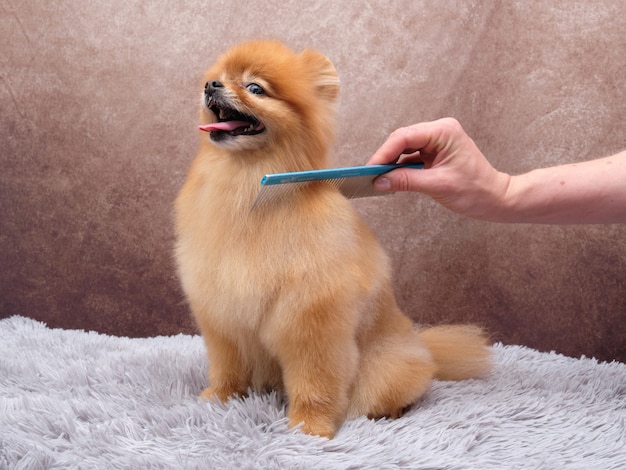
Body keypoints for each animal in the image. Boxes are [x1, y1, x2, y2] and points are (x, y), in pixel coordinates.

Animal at [173, 39, 490, 436]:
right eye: (219, 77)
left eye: (255, 88)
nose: (211, 85)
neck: (247, 185)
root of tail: (420, 344)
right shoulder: (222, 314)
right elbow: (228, 365)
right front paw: (220, 396)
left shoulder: (313, 319)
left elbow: (316, 381)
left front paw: (309, 427)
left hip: (386, 369)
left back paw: (392, 411)